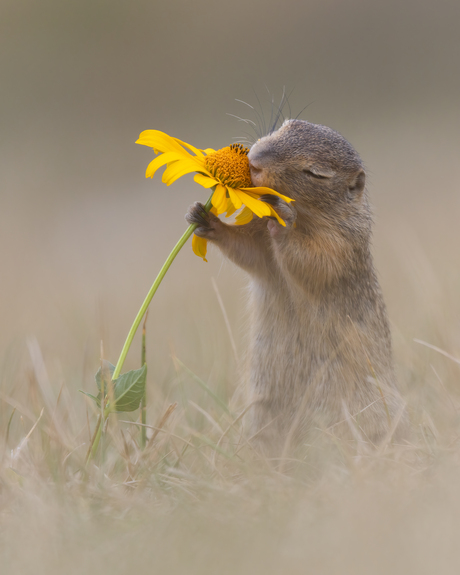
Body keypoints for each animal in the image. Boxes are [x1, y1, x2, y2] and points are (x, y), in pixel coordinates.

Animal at [186, 120, 406, 454]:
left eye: (316, 173)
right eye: (287, 125)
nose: (255, 161)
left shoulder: (340, 246)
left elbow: (312, 262)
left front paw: (285, 221)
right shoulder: (260, 241)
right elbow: (247, 250)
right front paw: (205, 217)